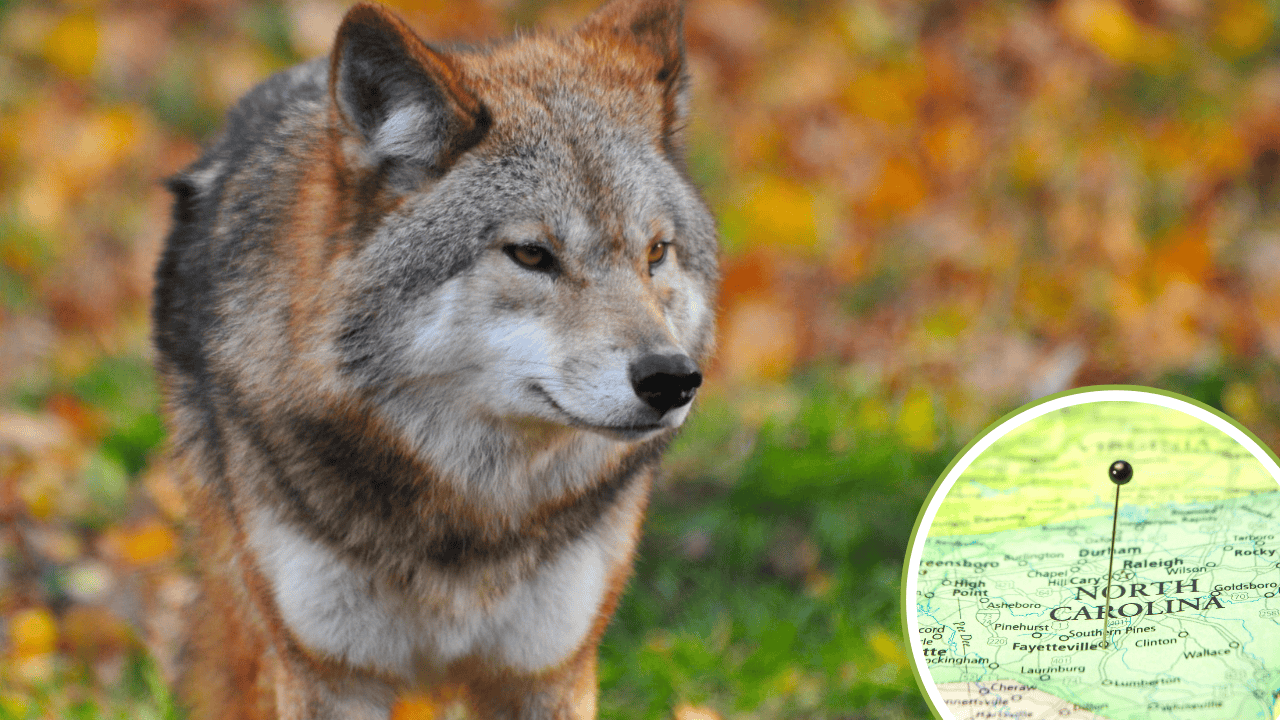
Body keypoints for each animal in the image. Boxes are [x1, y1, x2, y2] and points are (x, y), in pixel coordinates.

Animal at [149, 0, 718, 717]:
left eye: (656, 254)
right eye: (531, 254)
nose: (671, 380)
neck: (471, 519)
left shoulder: (546, 671)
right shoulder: (328, 675)